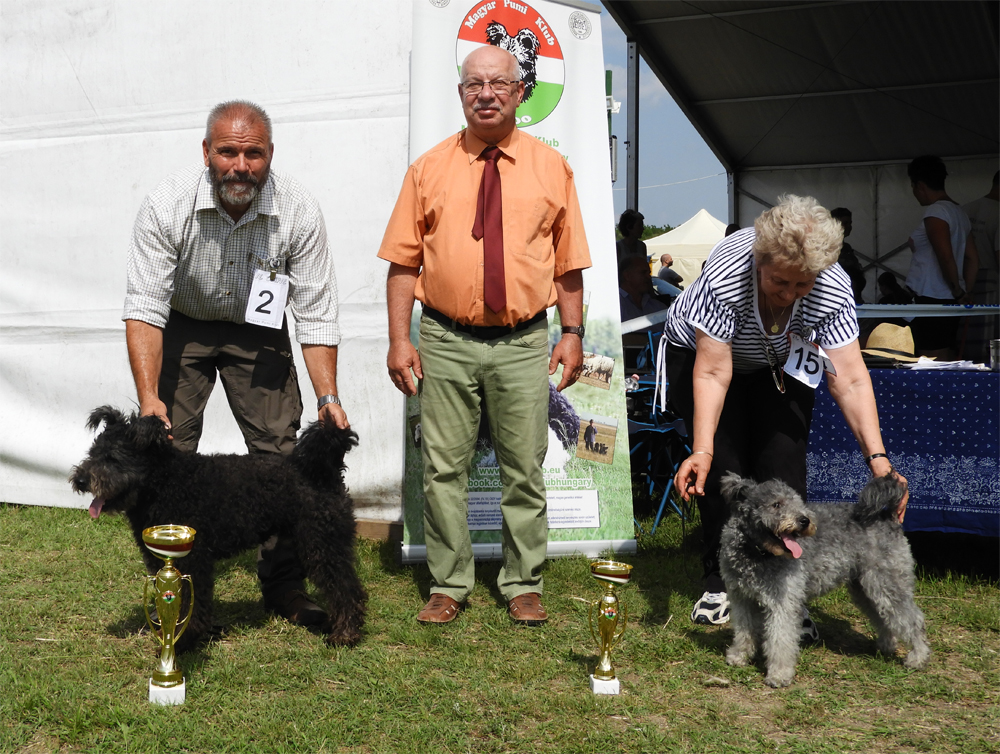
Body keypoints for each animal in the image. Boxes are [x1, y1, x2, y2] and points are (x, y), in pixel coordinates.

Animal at [71, 408, 368, 648]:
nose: (81, 480)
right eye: (93, 453)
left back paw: (345, 634)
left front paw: (183, 641)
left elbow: (191, 604)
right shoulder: (161, 559)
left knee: (346, 588)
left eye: (112, 458)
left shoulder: (194, 559)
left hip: (322, 542)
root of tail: (323, 469)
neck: (167, 483)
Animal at [720, 472, 928, 684]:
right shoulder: (742, 599)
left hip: (887, 582)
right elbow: (744, 630)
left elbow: (780, 640)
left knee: (913, 620)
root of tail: (886, 516)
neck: (756, 553)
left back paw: (918, 657)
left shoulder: (782, 603)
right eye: (776, 504)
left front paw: (779, 674)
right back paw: (887, 645)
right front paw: (739, 656)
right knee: (883, 617)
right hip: (865, 588)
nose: (804, 520)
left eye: (797, 501)